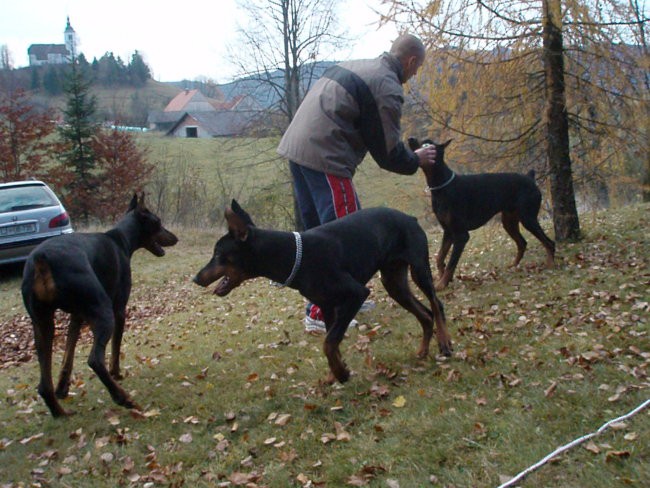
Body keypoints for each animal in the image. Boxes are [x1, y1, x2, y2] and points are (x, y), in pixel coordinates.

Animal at [21, 193, 177, 416]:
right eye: (158, 222)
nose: (175, 237)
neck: (122, 240)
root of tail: (42, 261)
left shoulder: (77, 315)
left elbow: (69, 349)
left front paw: (63, 387)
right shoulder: (119, 309)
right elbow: (116, 346)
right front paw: (117, 372)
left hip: (42, 322)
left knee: (43, 382)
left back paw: (59, 412)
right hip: (103, 311)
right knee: (95, 359)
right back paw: (122, 397)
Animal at [192, 200, 450, 384]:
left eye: (218, 254)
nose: (196, 278)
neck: (294, 255)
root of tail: (410, 218)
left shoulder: (356, 295)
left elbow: (328, 342)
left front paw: (341, 373)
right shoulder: (327, 306)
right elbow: (331, 342)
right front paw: (333, 375)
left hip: (419, 269)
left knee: (436, 305)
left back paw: (445, 343)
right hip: (394, 282)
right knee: (425, 314)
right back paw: (422, 351)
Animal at [410, 137, 552, 290]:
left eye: (426, 144)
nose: (410, 138)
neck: (442, 186)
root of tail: (530, 178)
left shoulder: (461, 235)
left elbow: (451, 263)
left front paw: (442, 283)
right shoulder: (448, 231)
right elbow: (440, 257)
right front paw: (442, 279)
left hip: (528, 218)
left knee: (549, 242)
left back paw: (550, 265)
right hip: (509, 221)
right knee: (522, 243)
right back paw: (513, 266)